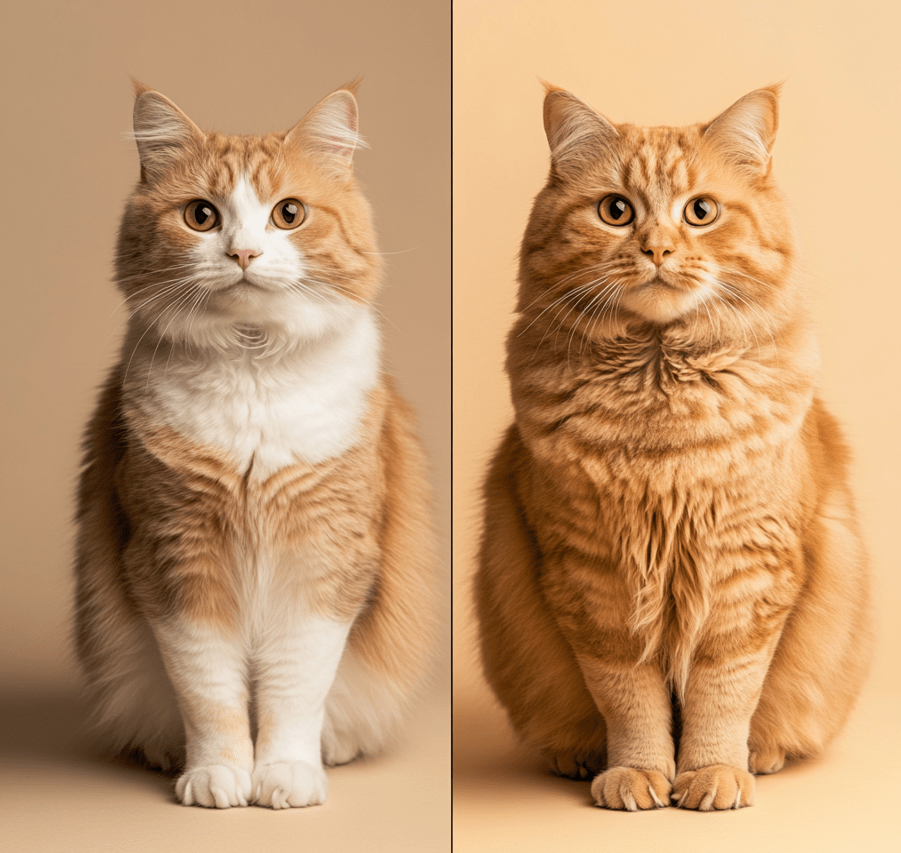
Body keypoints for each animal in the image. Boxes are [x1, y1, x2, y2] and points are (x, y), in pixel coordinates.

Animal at [73, 83, 432, 808]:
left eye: (287, 214)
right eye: (201, 216)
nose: (242, 253)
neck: (251, 369)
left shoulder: (325, 559)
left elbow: (294, 687)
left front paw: (286, 772)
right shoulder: (175, 556)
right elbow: (209, 692)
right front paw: (217, 774)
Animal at [478, 86, 872, 812]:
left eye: (700, 211)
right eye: (615, 211)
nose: (657, 247)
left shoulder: (747, 571)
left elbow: (725, 693)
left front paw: (712, 772)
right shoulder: (593, 576)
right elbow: (628, 699)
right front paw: (637, 773)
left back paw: (760, 756)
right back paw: (580, 757)